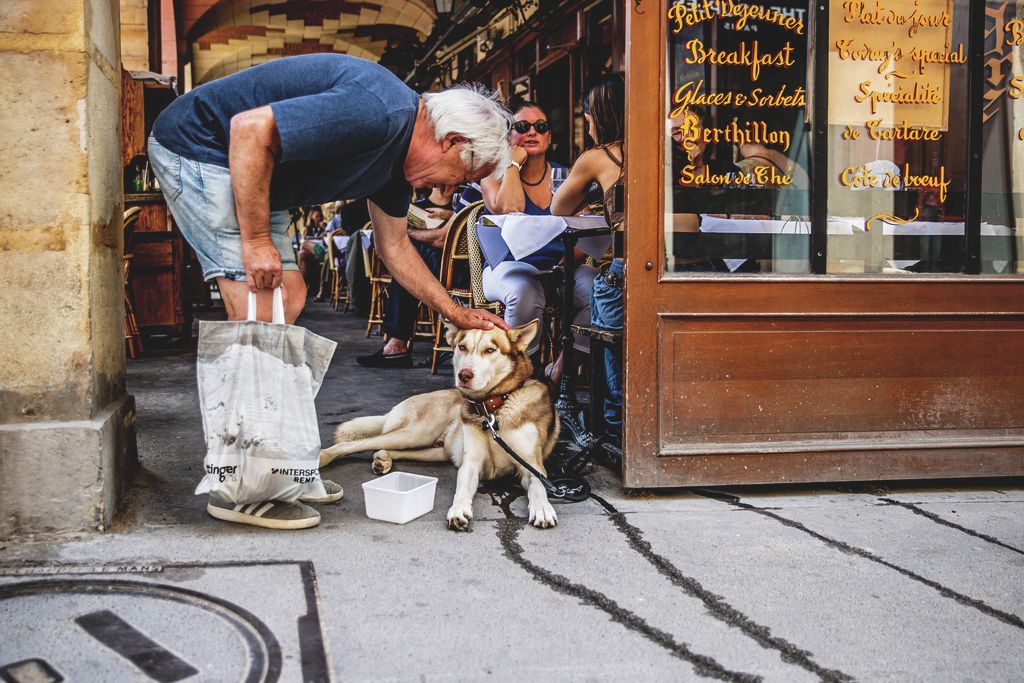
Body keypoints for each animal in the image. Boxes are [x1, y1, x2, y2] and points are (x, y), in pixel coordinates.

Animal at [319, 319, 561, 528]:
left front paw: (542, 508)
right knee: (355, 444)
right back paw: (323, 457)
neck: (492, 409)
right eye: (462, 347)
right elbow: (461, 490)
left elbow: (539, 487)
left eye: (490, 350)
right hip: (416, 433)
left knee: (387, 448)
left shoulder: (532, 466)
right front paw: (459, 510)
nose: (464, 375)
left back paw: (382, 460)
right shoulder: (471, 464)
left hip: (433, 449)